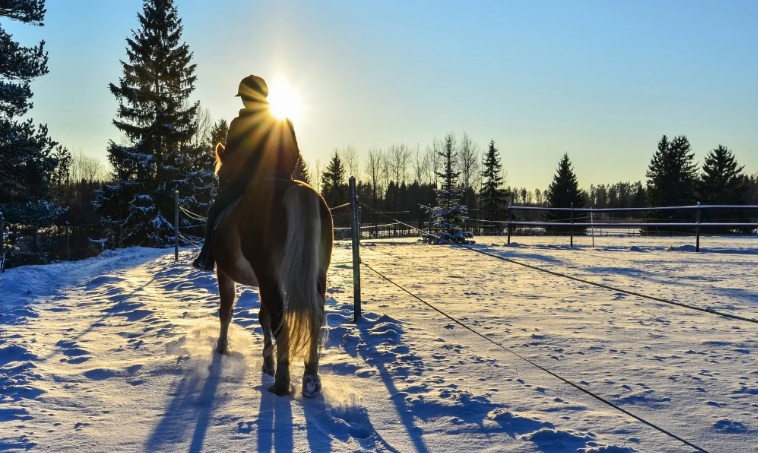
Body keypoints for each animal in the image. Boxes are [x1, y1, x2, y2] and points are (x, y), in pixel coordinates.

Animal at [212, 142, 334, 396]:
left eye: (220, 175)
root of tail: (295, 189)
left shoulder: (226, 274)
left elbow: (226, 311)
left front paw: (222, 347)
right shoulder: (262, 281)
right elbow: (262, 317)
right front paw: (267, 362)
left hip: (268, 276)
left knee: (281, 321)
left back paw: (282, 382)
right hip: (317, 274)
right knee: (314, 318)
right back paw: (310, 379)